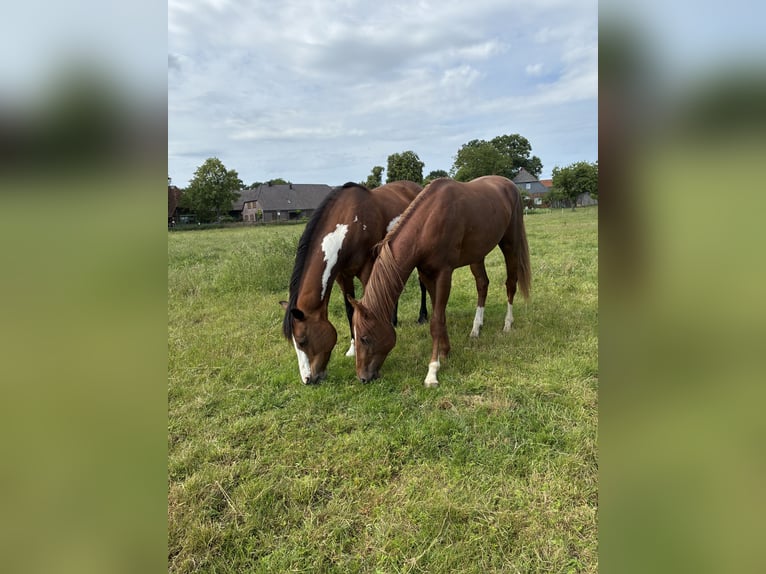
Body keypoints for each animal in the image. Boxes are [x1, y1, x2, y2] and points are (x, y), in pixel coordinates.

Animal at [280, 181, 429, 384]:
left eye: (302, 340)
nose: (307, 379)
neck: (351, 225)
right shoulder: (343, 276)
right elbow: (350, 310)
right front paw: (352, 348)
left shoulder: (368, 268)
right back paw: (394, 320)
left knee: (422, 285)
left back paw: (422, 317)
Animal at [348, 175, 531, 387]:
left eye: (365, 338)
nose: (362, 377)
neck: (427, 223)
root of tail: (509, 184)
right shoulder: (426, 274)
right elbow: (440, 315)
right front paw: (445, 351)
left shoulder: (444, 273)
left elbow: (435, 321)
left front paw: (432, 371)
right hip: (478, 254)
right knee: (482, 284)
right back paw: (476, 328)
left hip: (510, 244)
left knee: (511, 283)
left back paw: (507, 324)